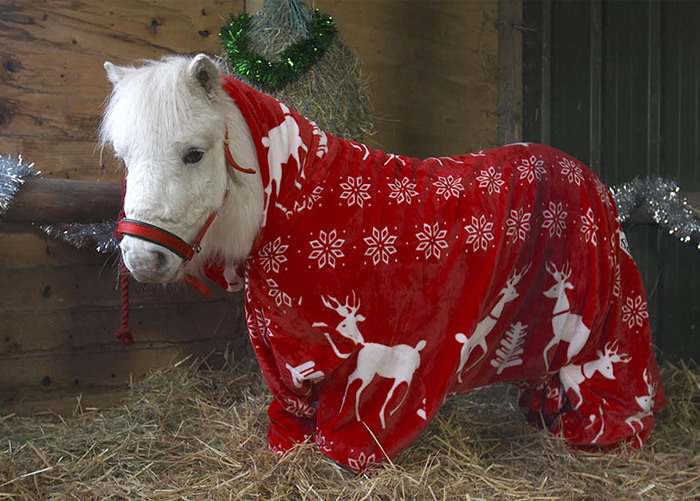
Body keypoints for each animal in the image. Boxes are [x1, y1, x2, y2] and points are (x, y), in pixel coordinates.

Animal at [101, 54, 665, 472]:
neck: (297, 205)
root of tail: (593, 181)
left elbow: (349, 428)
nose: (142, 258)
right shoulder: (283, 353)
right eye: (125, 157)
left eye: (194, 154)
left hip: (603, 339)